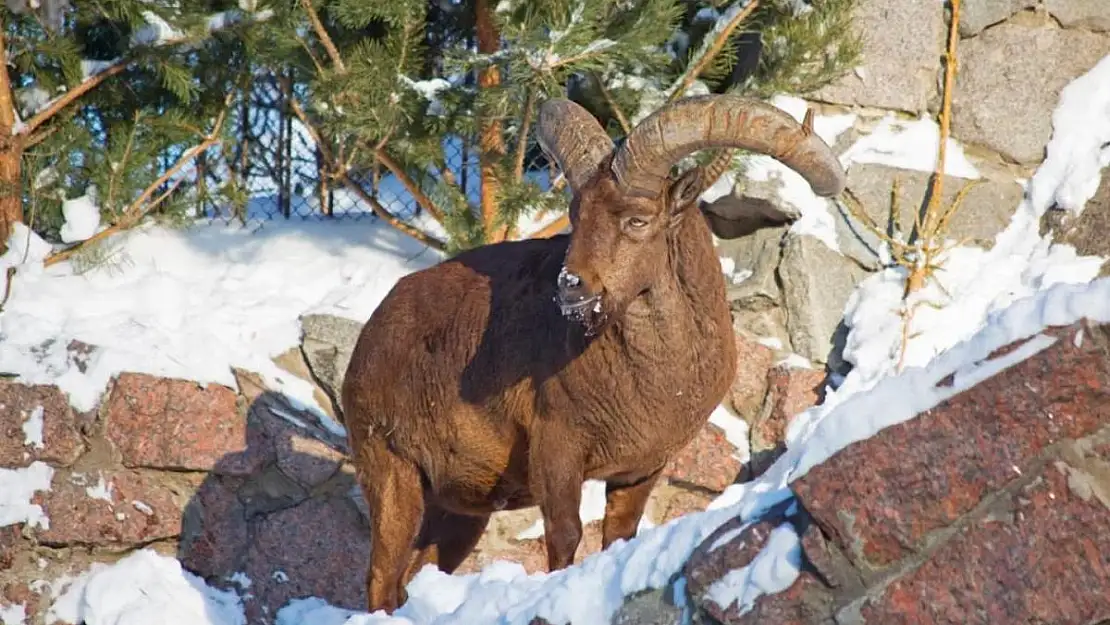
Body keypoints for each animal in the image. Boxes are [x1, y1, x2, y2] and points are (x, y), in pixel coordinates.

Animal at [341, 92, 843, 612]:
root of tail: (370, 337)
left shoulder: (640, 470)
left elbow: (618, 534)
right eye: (577, 214)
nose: (571, 286)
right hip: (391, 471)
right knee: (381, 578)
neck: (659, 380)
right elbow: (565, 536)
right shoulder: (557, 450)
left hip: (458, 513)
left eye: (638, 219)